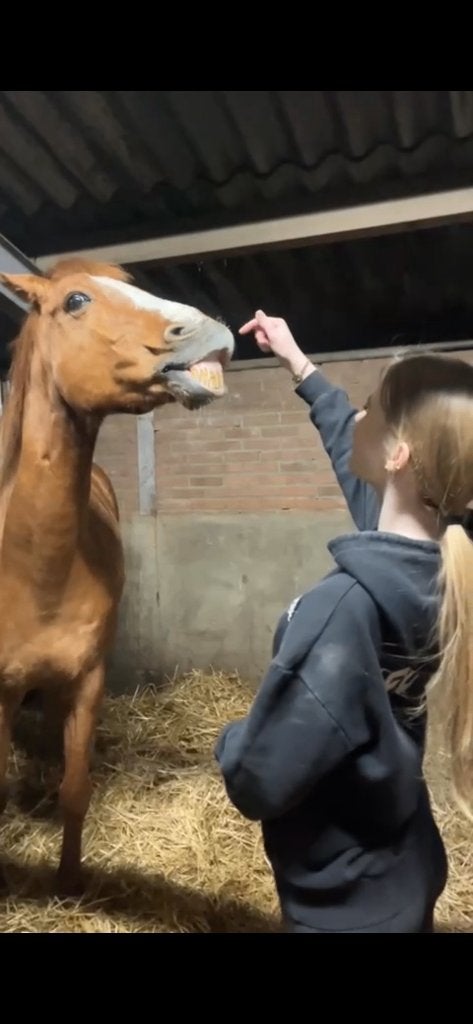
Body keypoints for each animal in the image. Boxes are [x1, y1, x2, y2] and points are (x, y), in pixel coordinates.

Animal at [0, 258, 234, 895]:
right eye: (76, 301)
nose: (211, 330)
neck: (32, 571)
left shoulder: (87, 682)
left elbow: (76, 789)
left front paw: (68, 884)